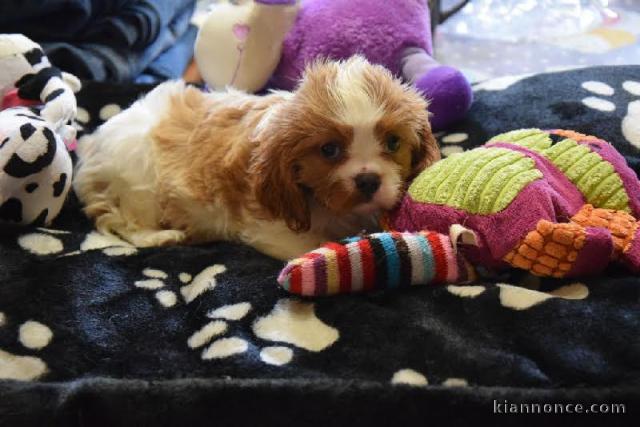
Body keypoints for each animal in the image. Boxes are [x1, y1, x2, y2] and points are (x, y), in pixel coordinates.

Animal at [72, 56, 438, 260]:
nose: (368, 180)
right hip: (139, 182)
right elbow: (315, 247)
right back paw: (161, 236)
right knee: (124, 222)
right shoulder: (274, 231)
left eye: (393, 142)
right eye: (329, 150)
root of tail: (91, 144)